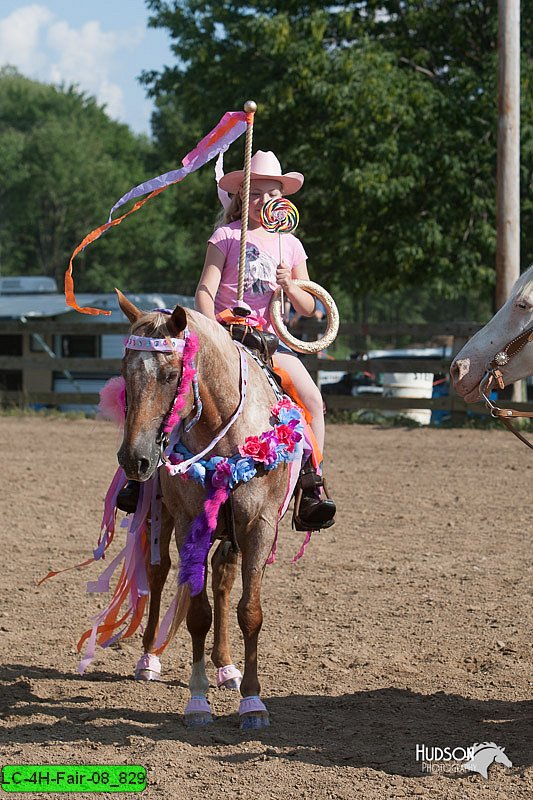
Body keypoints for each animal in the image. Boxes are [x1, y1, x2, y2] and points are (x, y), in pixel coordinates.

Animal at [114, 290, 304, 728]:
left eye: (172, 374)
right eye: (124, 371)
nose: (135, 459)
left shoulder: (258, 526)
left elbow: (249, 612)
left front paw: (253, 702)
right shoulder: (190, 523)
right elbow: (198, 613)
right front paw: (198, 701)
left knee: (222, 577)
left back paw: (227, 666)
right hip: (161, 515)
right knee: (159, 572)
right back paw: (149, 659)